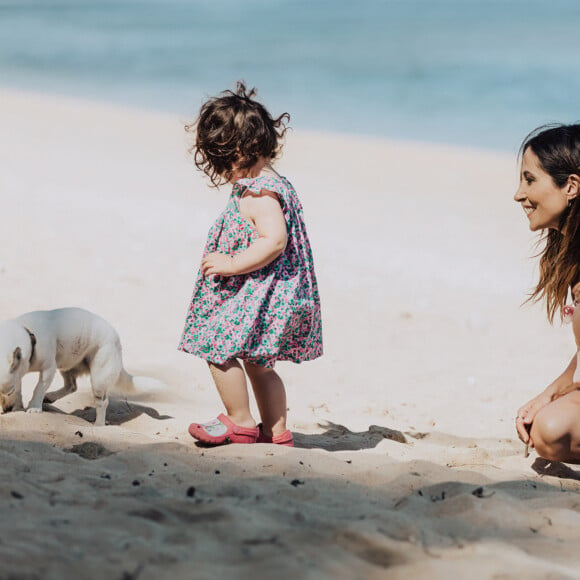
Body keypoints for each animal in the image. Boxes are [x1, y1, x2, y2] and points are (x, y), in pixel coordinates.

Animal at [0, 308, 152, 426]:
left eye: (9, 391)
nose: (6, 410)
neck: (28, 332)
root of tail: (118, 343)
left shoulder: (48, 369)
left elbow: (38, 389)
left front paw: (34, 407)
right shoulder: (19, 374)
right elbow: (20, 391)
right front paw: (17, 408)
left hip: (99, 380)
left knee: (102, 403)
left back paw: (98, 425)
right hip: (67, 366)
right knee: (71, 386)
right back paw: (50, 397)